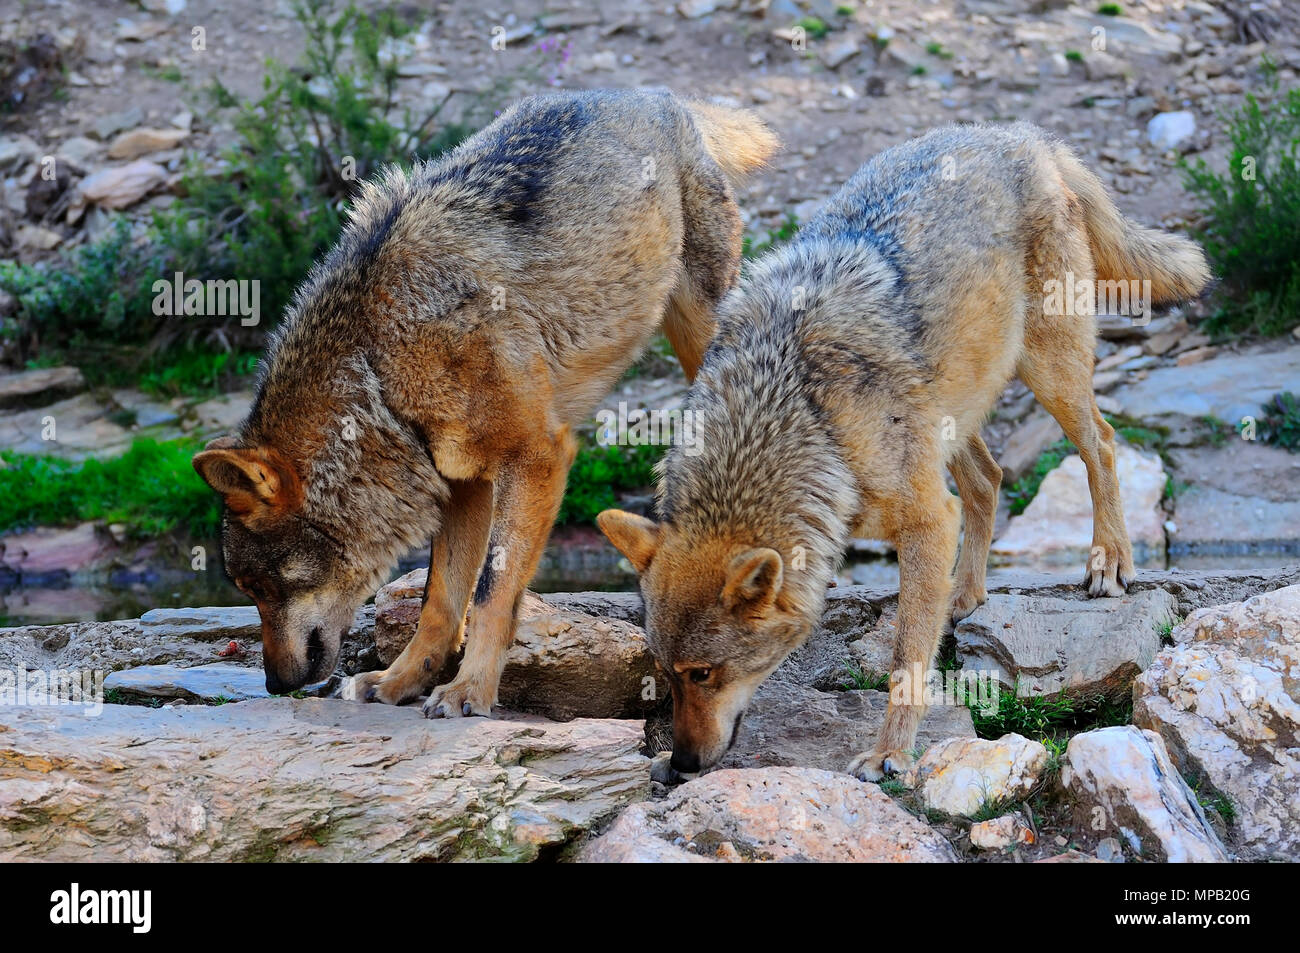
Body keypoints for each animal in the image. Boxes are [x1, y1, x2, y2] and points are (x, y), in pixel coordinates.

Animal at [191, 89, 774, 712]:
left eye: (258, 586)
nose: (275, 685)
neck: (378, 368)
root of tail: (658, 95)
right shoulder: (459, 480)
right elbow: (440, 598)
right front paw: (402, 679)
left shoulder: (538, 457)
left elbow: (493, 590)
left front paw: (470, 690)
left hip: (704, 338)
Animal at [598, 120, 1206, 780]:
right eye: (666, 675)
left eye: (704, 674)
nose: (681, 763)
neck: (795, 407)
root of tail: (1020, 136)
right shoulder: (917, 510)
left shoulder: (926, 519)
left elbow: (906, 654)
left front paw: (890, 753)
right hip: (949, 410)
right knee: (990, 478)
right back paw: (964, 594)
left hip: (1047, 373)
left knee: (1103, 443)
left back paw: (1109, 561)